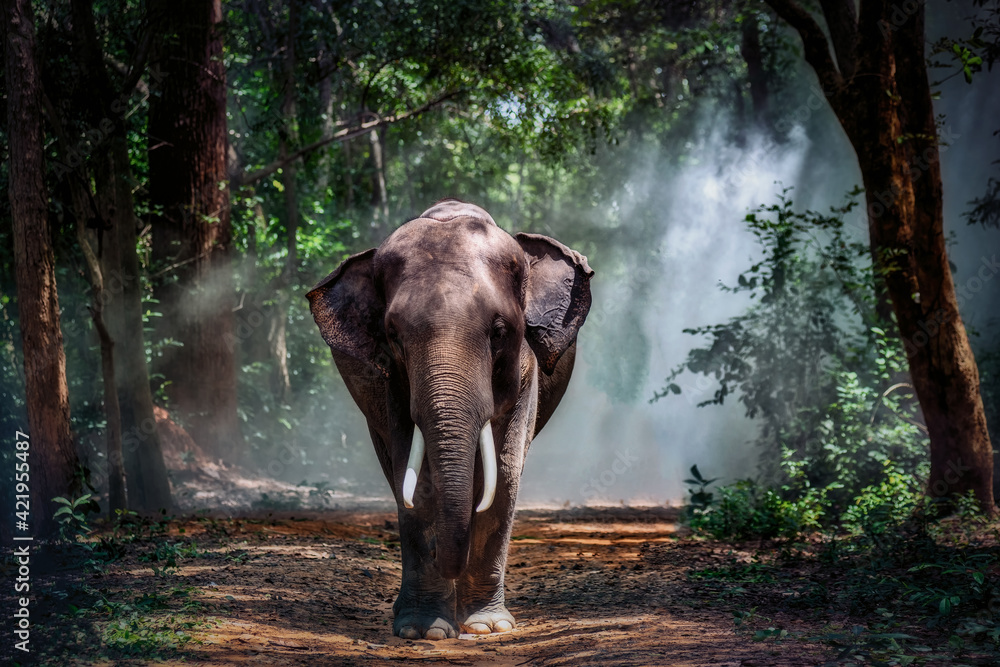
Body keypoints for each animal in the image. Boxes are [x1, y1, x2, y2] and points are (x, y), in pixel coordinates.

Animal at [306, 199, 593, 639]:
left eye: (499, 332)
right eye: (393, 335)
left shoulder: (525, 371)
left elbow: (504, 474)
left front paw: (487, 627)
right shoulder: (393, 382)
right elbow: (416, 478)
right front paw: (424, 631)